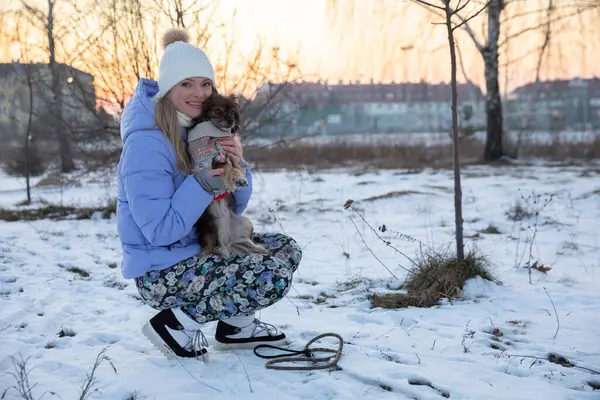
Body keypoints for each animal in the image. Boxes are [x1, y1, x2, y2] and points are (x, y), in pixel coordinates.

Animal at [189, 93, 268, 260]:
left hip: (245, 223)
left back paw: (259, 248)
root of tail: (228, 239)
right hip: (213, 226)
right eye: (218, 111)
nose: (231, 120)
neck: (216, 135)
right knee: (216, 247)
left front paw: (240, 179)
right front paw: (232, 180)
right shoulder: (217, 160)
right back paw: (223, 251)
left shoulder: (230, 155)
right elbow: (227, 168)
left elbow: (235, 168)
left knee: (243, 241)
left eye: (233, 113)